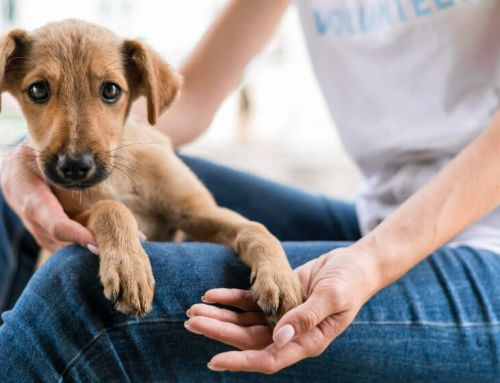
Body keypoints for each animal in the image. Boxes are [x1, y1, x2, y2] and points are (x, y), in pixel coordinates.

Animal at [0, 19, 302, 322]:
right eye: (38, 90)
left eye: (111, 90)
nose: (74, 166)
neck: (118, 177)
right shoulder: (69, 221)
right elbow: (110, 208)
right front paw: (128, 268)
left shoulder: (198, 212)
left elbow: (255, 228)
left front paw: (281, 278)